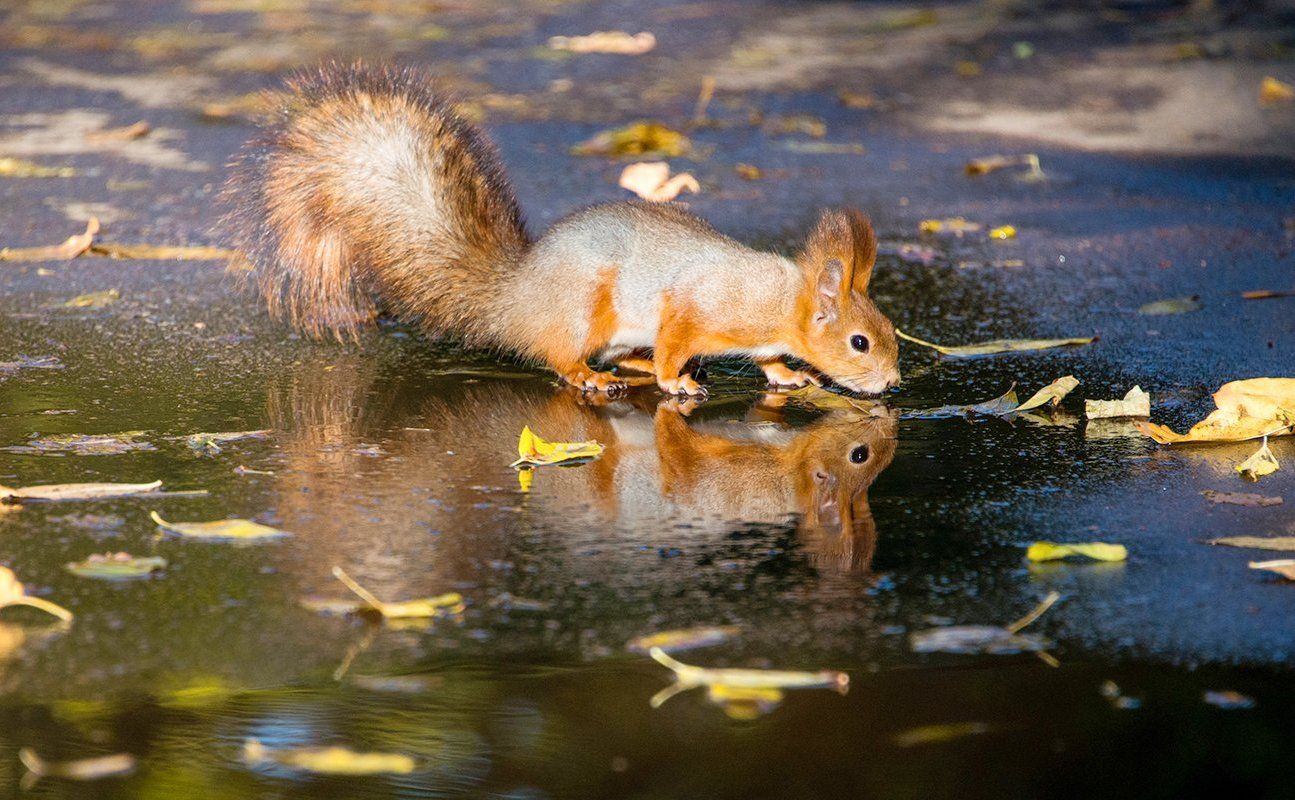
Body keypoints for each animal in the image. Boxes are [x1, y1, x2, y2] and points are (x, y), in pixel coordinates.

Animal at [220, 62, 901, 396]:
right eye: (860, 342)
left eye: (890, 330)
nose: (894, 382)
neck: (779, 298)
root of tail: (512, 300)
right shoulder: (695, 304)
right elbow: (677, 338)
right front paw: (675, 381)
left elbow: (768, 358)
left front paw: (787, 374)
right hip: (580, 311)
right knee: (560, 359)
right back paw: (597, 376)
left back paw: (628, 367)